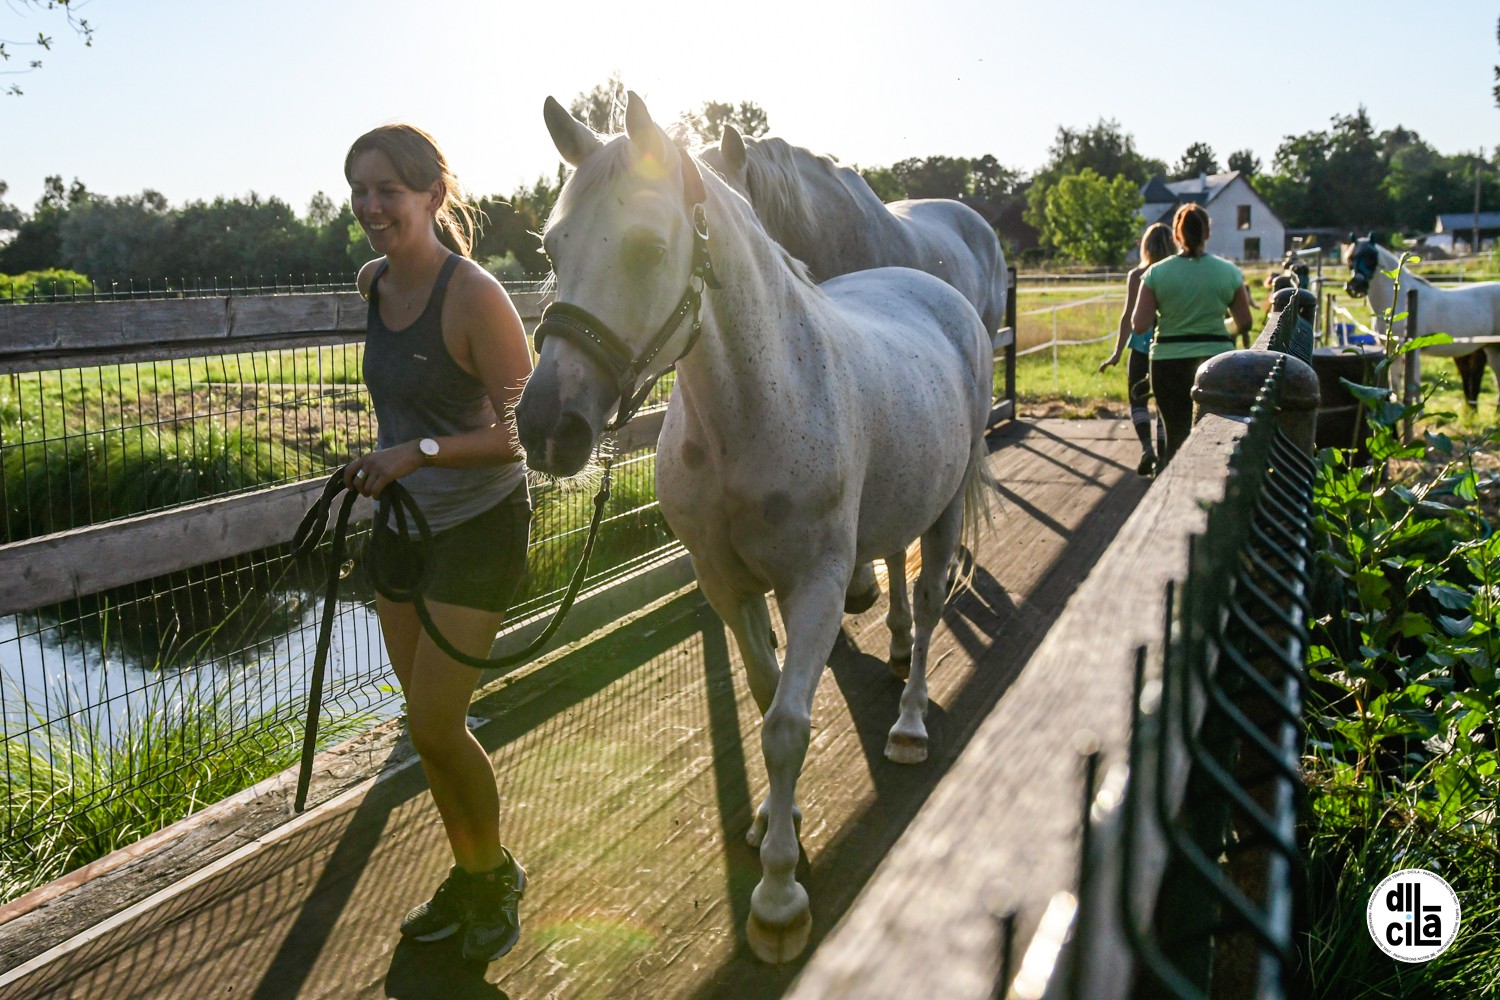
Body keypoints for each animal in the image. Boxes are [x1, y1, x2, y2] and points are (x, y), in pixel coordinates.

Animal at [516, 91, 996, 959]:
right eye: (553, 246)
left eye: (647, 245)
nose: (544, 427)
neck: (752, 409)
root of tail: (935, 287)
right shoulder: (727, 582)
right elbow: (767, 691)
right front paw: (779, 815)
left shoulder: (816, 586)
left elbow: (786, 728)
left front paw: (777, 896)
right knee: (902, 582)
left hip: (944, 513)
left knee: (932, 599)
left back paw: (909, 723)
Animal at [1344, 235, 1500, 407]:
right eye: (1350, 258)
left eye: (1372, 257)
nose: (1356, 286)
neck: (1401, 300)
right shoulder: (1391, 350)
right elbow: (1395, 384)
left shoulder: (1413, 351)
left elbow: (1415, 385)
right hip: (1492, 349)